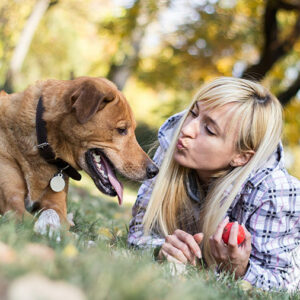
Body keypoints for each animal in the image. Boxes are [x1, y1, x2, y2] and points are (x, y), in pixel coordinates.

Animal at [0, 76, 159, 233]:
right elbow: (27, 219)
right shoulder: (12, 202)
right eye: (122, 130)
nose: (154, 170)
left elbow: (53, 214)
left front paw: (53, 227)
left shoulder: (56, 204)